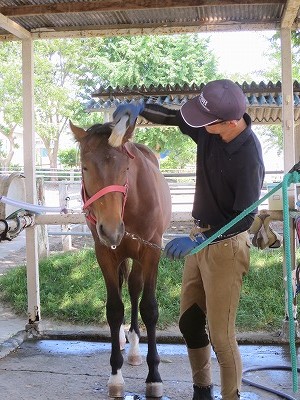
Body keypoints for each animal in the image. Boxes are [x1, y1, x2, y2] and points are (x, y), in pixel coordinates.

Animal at [70, 117, 172, 398]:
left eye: (126, 167)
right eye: (84, 167)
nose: (112, 229)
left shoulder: (151, 251)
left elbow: (149, 308)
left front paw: (154, 377)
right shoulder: (104, 253)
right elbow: (114, 310)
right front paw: (115, 376)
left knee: (135, 288)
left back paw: (136, 347)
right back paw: (123, 340)